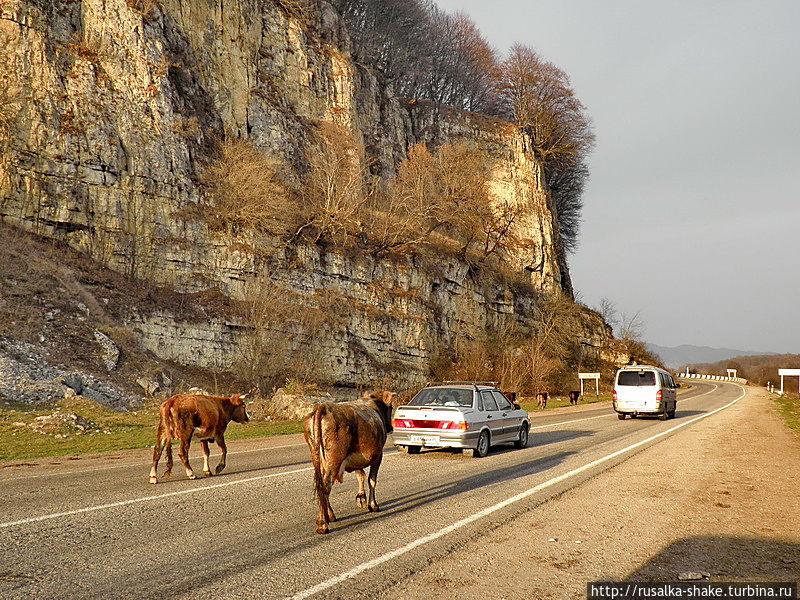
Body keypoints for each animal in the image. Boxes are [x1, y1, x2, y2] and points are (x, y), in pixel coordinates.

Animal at [304, 390, 394, 536]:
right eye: (391, 407)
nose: (390, 427)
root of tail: (323, 407)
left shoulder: (354, 459)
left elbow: (360, 475)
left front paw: (361, 497)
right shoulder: (378, 455)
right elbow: (372, 480)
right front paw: (373, 505)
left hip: (319, 459)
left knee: (322, 486)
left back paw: (328, 516)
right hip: (333, 460)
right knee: (325, 487)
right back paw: (323, 523)